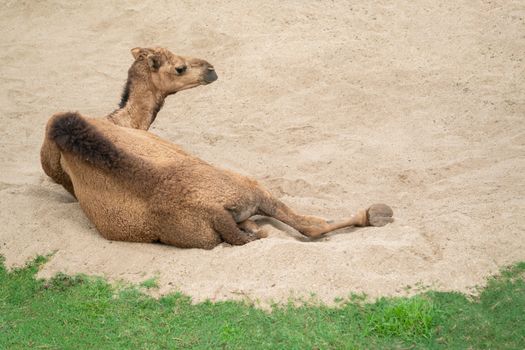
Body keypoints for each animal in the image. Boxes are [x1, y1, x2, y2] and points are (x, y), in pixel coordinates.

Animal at [42, 47, 392, 249]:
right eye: (179, 67)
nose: (211, 69)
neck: (122, 120)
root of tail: (212, 211)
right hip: (250, 186)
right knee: (309, 225)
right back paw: (378, 213)